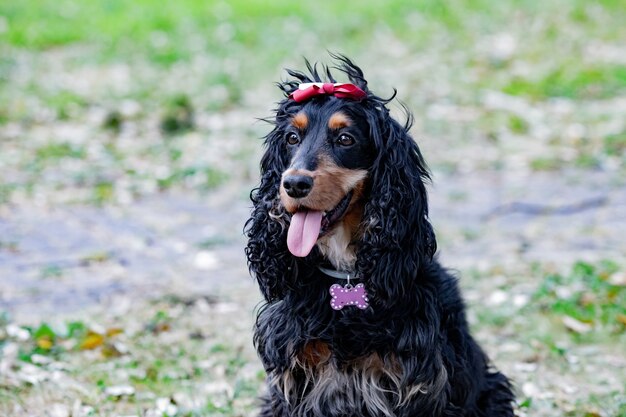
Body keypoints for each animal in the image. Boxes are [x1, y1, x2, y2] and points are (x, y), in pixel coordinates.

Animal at [244, 55, 512, 416]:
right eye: (291, 138)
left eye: (345, 139)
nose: (294, 184)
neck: (346, 276)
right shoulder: (293, 379)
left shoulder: (416, 385)